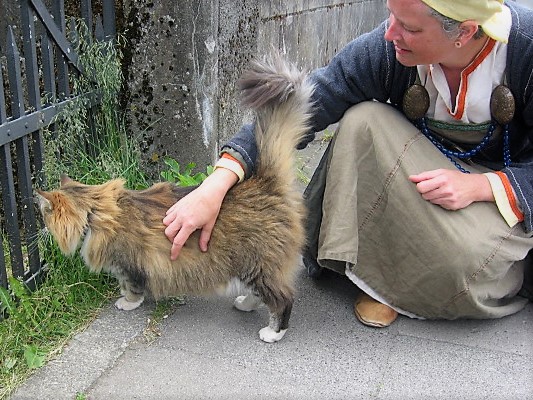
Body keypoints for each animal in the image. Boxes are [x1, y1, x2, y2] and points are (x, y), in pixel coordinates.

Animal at [34, 51, 316, 342]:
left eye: (43, 213)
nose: (40, 229)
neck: (95, 212)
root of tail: (265, 182)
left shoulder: (130, 266)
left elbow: (132, 287)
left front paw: (127, 302)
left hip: (257, 266)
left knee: (282, 299)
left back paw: (273, 332)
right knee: (261, 295)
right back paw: (245, 304)